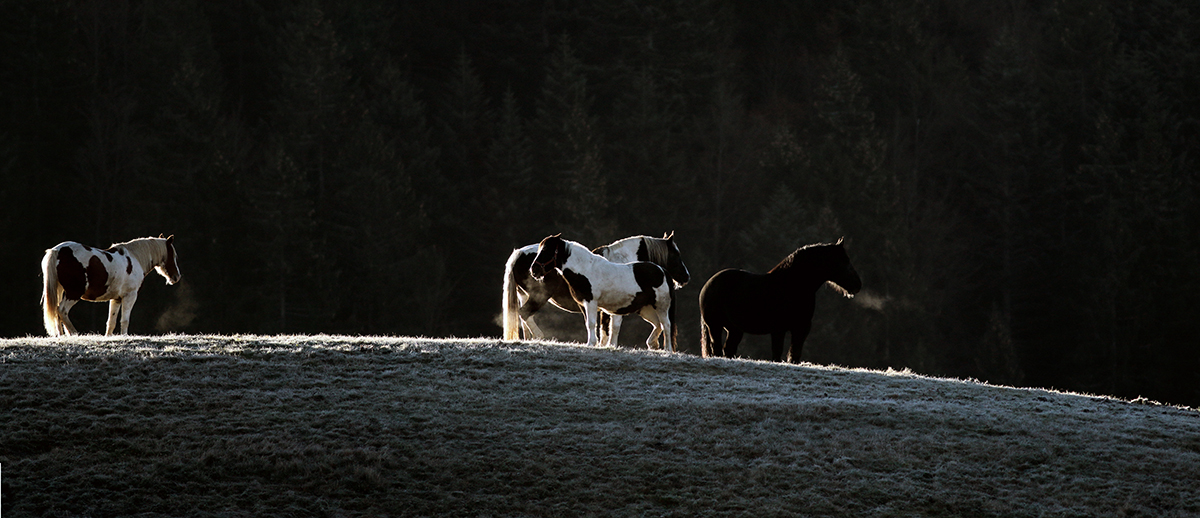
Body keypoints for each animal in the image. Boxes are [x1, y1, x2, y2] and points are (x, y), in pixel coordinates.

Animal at [40, 235, 181, 335]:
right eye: (173, 255)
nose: (176, 277)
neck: (135, 258)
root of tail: (57, 250)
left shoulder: (116, 299)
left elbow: (111, 322)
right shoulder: (129, 296)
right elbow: (124, 320)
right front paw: (124, 337)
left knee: (57, 312)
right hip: (73, 293)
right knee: (62, 310)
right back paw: (74, 333)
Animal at [501, 232, 691, 345]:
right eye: (676, 254)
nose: (686, 277)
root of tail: (519, 253)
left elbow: (604, 330)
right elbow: (610, 329)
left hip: (524, 295)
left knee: (524, 318)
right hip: (538, 296)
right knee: (525, 313)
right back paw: (540, 337)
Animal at [700, 239, 859, 364]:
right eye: (844, 261)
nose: (858, 284)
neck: (790, 285)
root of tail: (708, 284)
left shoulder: (801, 328)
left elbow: (794, 354)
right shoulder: (779, 330)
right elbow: (778, 353)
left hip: (734, 329)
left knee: (728, 349)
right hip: (715, 326)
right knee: (717, 348)